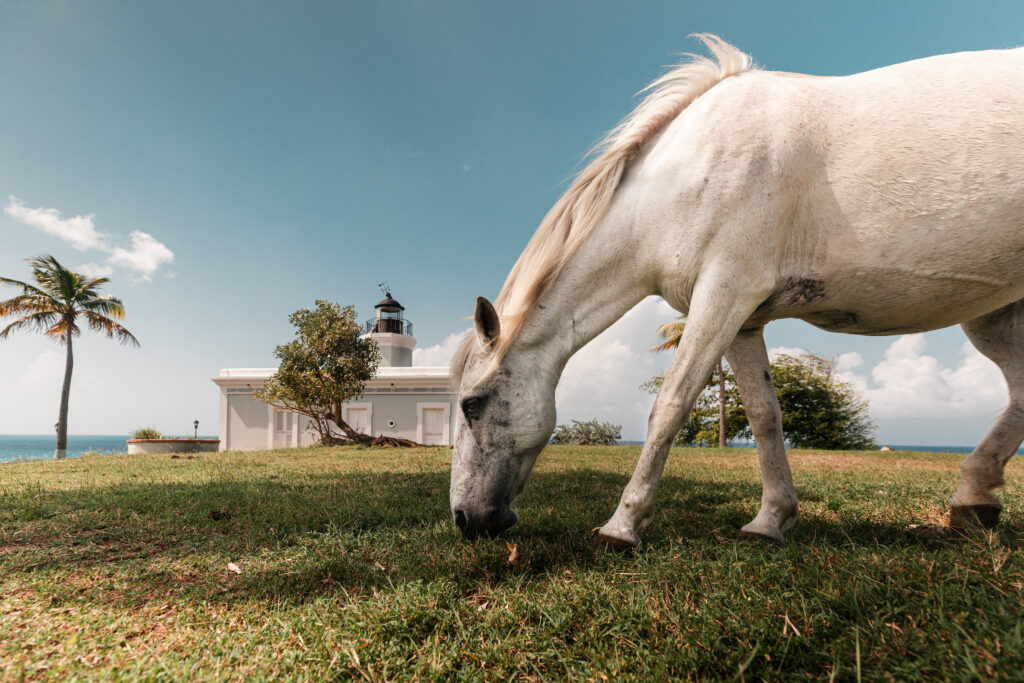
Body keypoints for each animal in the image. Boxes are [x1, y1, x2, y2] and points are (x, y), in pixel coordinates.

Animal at [452, 36, 1024, 548]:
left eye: (471, 405)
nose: (465, 519)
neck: (679, 178)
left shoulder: (724, 292)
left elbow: (671, 405)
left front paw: (622, 525)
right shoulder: (743, 319)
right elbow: (765, 416)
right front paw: (770, 520)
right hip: (995, 319)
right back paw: (974, 499)